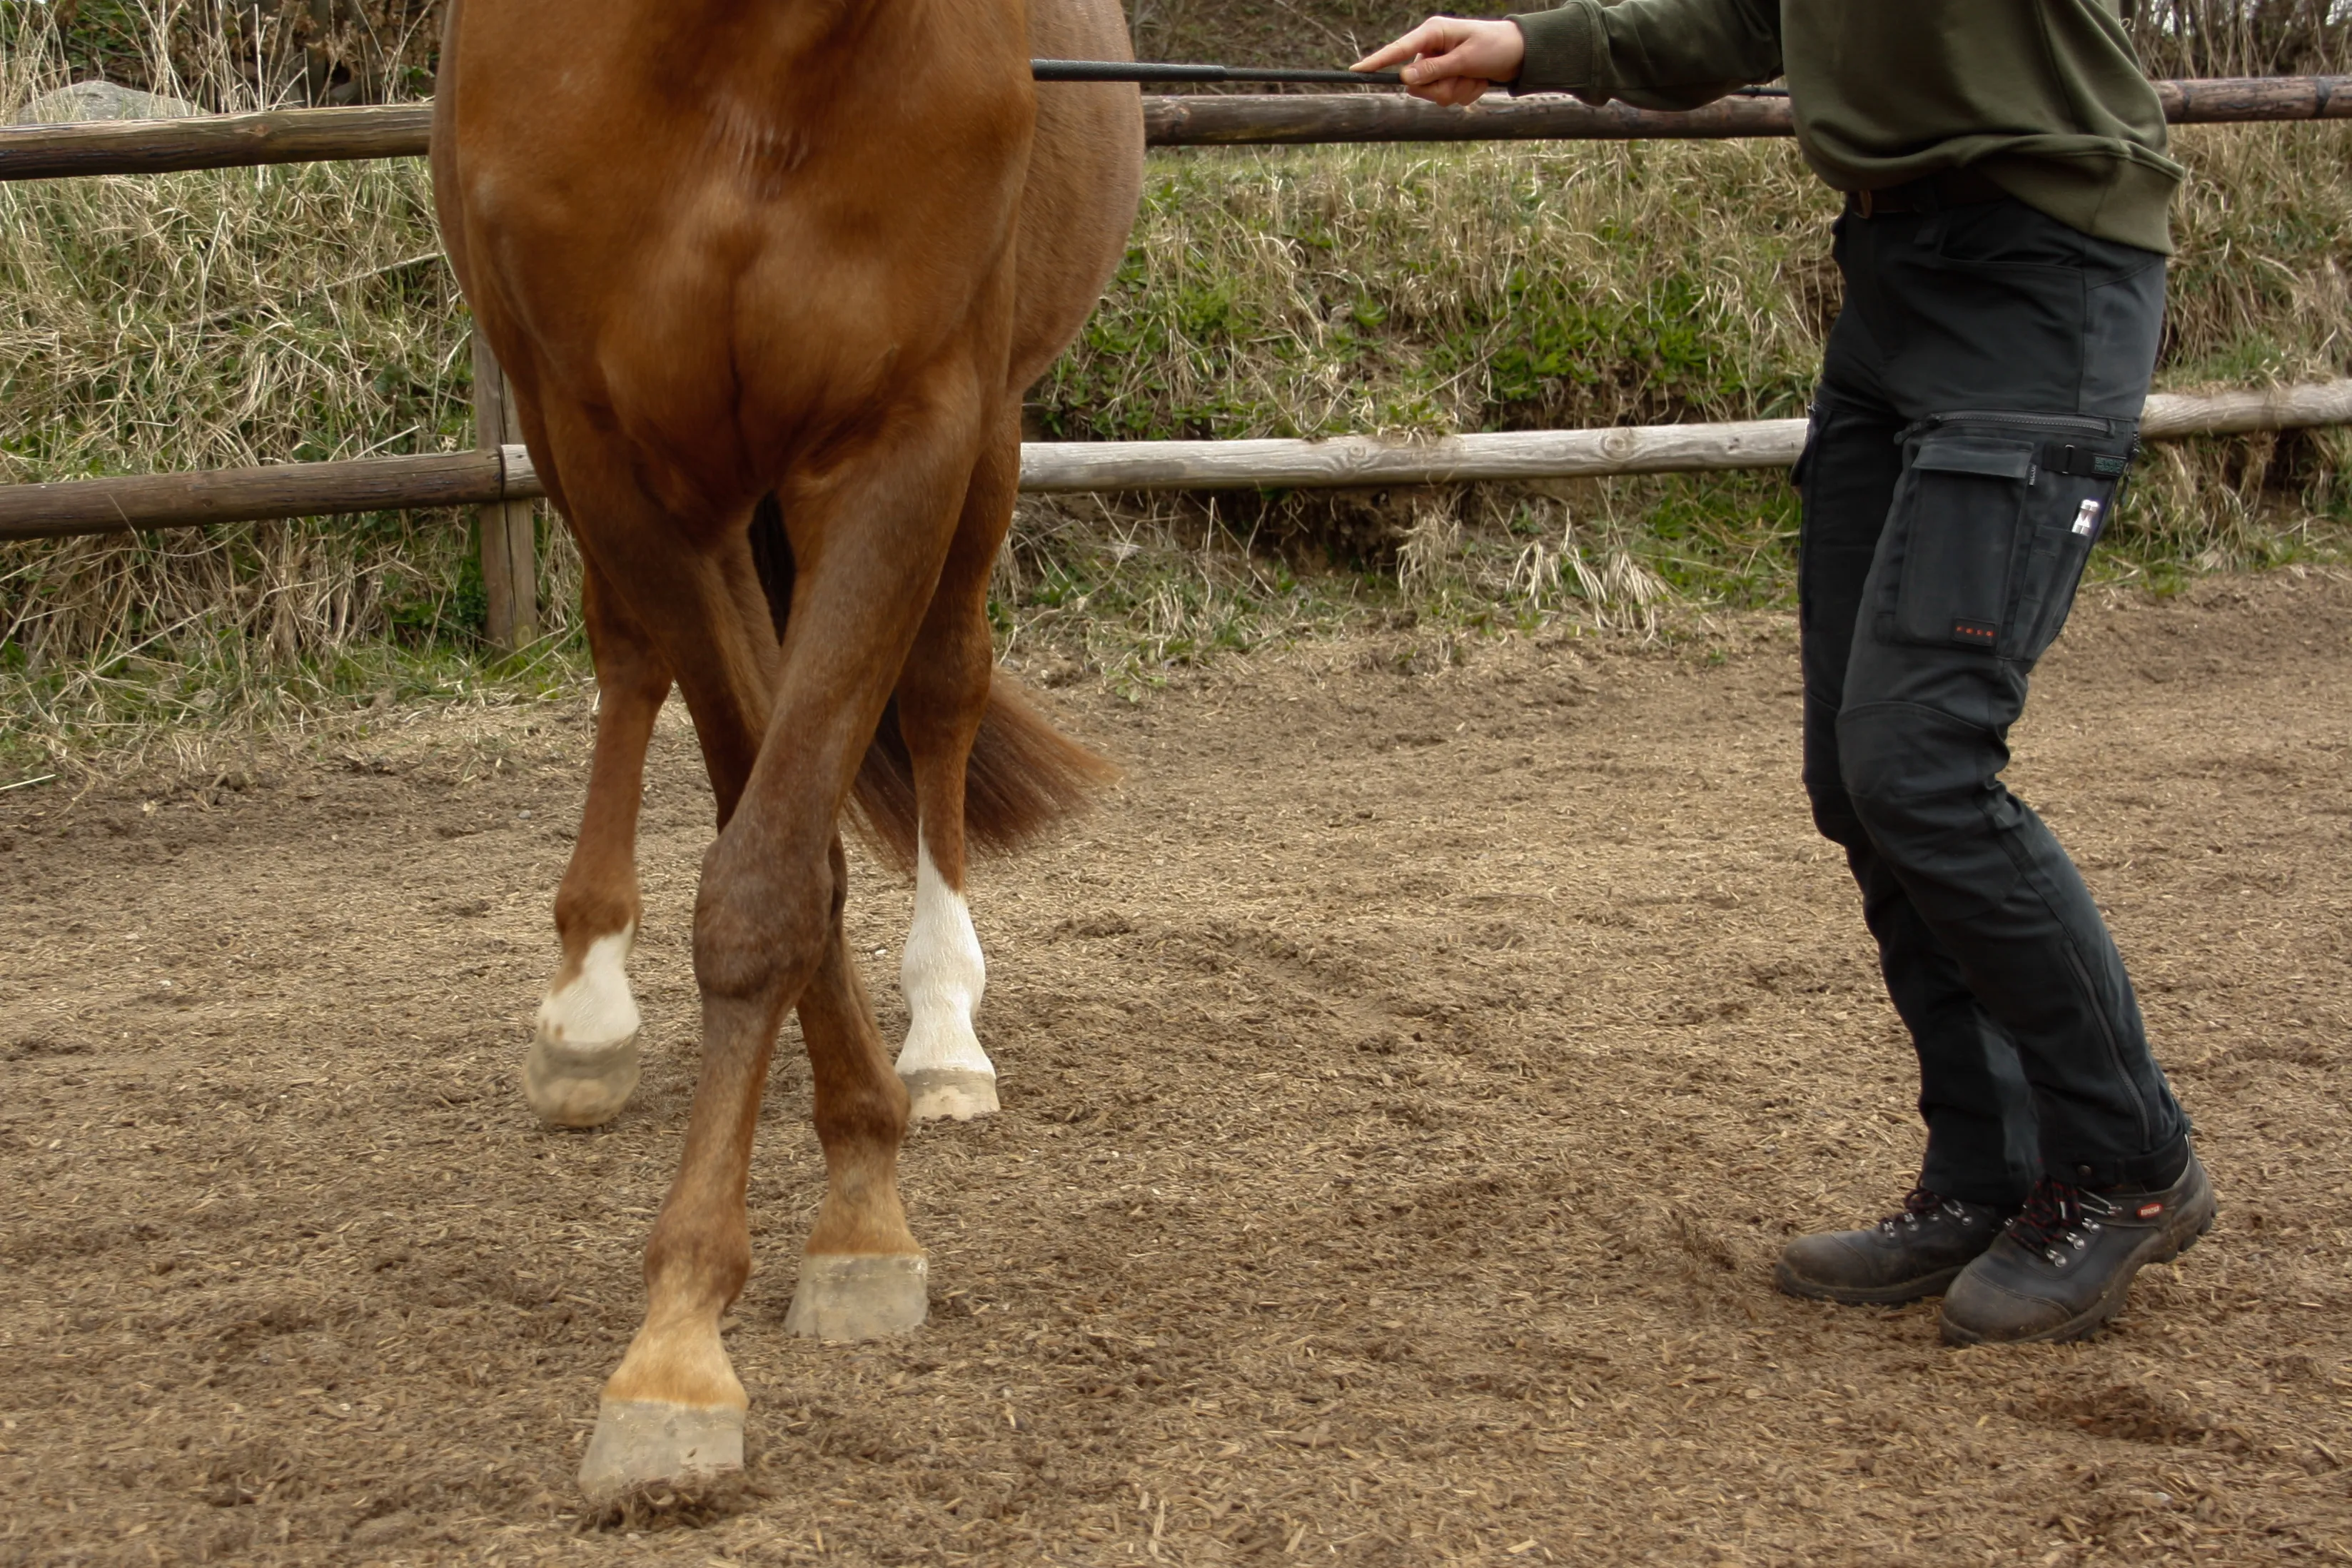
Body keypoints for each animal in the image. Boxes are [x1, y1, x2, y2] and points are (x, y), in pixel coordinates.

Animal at [430, 0, 1143, 1499]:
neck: (748, 50)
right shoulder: (617, 454)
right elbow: (763, 818)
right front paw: (704, 1316)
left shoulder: (903, 431)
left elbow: (771, 869)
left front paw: (821, 1241)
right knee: (637, 663)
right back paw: (588, 1003)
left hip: (984, 437)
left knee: (940, 691)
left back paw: (943, 1032)